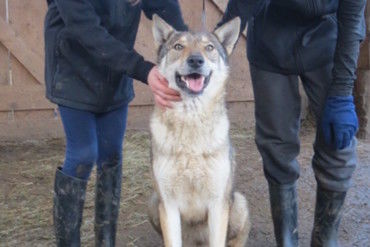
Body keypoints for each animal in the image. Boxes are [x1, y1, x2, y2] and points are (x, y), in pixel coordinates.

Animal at [148, 15, 251, 247]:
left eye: (209, 47)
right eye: (178, 46)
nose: (196, 60)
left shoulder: (217, 205)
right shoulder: (168, 205)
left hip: (239, 204)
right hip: (154, 203)